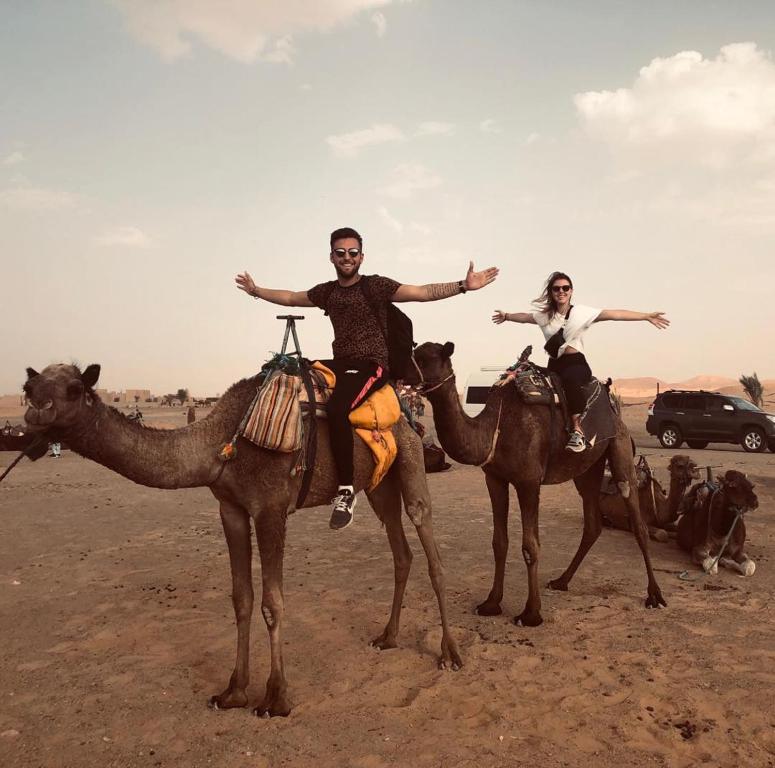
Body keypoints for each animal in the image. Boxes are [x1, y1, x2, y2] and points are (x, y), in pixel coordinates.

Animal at [22, 364, 460, 716]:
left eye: (73, 389)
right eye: (31, 387)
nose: (33, 413)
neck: (220, 443)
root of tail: (405, 407)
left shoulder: (270, 508)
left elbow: (273, 603)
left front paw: (276, 698)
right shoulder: (230, 509)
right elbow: (241, 598)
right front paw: (233, 691)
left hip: (409, 456)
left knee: (430, 546)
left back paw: (450, 654)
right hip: (377, 484)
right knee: (401, 551)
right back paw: (388, 637)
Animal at [406, 342, 668, 624]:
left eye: (426, 357)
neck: (495, 428)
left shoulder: (528, 481)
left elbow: (530, 546)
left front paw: (531, 613)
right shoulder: (494, 478)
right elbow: (499, 542)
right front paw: (491, 603)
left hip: (619, 449)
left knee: (637, 520)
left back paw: (655, 595)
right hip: (587, 471)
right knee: (592, 523)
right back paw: (562, 581)